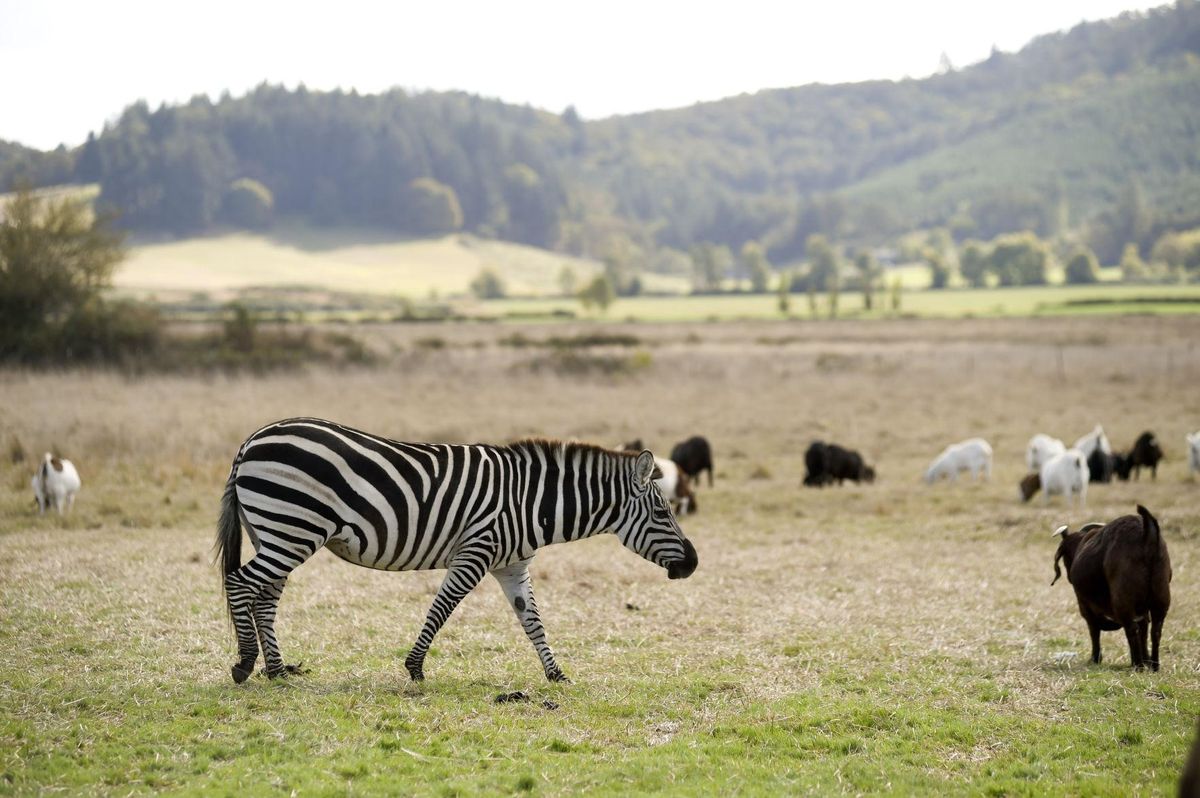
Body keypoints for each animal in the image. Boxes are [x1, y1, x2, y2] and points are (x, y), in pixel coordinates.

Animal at [216, 412, 700, 681]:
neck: (532, 503)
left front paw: (556, 674)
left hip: (279, 532)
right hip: (293, 529)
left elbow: (533, 622)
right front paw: (414, 667)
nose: (693, 564)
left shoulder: (512, 565)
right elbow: (442, 608)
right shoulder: (476, 551)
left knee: (265, 596)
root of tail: (252, 440)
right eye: (663, 512)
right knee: (240, 582)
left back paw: (277, 670)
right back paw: (245, 664)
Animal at [1051, 504, 1171, 667]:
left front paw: (1095, 658)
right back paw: (1153, 665)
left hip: (1123, 599)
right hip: (1161, 596)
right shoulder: (1143, 610)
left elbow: (1094, 630)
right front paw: (1145, 659)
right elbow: (1144, 630)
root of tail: (1146, 533)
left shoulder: (1085, 605)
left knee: (1131, 629)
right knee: (1155, 631)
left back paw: (1138, 666)